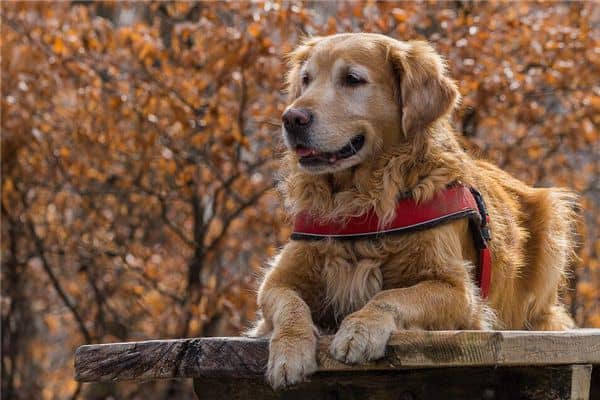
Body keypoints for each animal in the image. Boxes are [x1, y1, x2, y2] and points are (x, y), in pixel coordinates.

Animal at [247, 32, 576, 390]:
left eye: (352, 79)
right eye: (306, 80)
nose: (291, 118)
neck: (361, 200)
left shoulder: (459, 291)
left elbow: (391, 296)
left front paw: (359, 330)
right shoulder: (277, 281)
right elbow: (290, 305)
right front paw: (289, 352)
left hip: (553, 217)